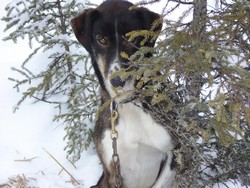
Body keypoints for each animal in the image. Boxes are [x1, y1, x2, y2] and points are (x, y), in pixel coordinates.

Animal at [70, 0, 176, 187]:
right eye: (101, 39)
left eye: (133, 38)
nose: (117, 81)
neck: (129, 104)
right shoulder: (111, 170)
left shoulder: (176, 151)